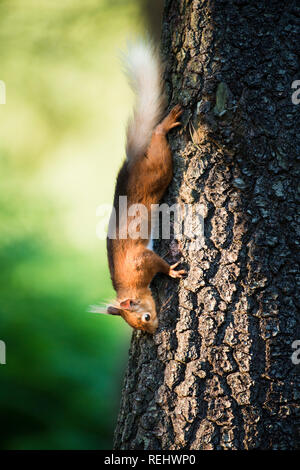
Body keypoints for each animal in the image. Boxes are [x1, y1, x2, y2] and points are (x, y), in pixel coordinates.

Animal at [91, 41, 185, 334]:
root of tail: (131, 162)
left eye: (143, 317)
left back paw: (164, 125)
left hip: (158, 170)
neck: (130, 284)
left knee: (157, 140)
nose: (153, 331)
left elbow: (160, 265)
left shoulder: (143, 259)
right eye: (142, 325)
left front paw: (173, 272)